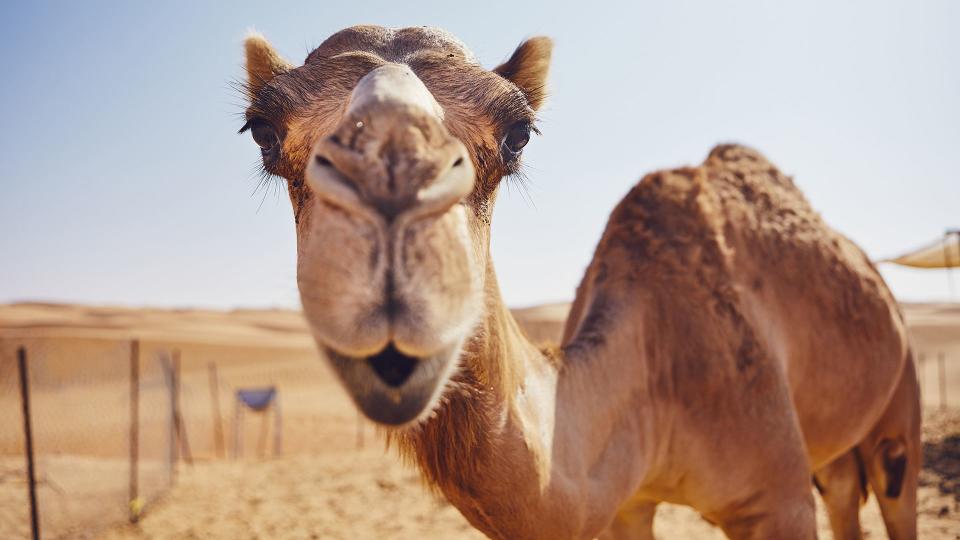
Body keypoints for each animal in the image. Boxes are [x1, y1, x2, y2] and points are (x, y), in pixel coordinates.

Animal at [238, 26, 924, 540]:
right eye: (263, 131)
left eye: (518, 134)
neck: (660, 367)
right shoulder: (624, 506)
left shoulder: (776, 499)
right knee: (845, 492)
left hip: (898, 408)